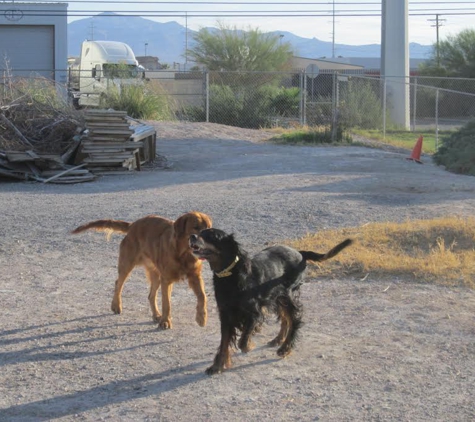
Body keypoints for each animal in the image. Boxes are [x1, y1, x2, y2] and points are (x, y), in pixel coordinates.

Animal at [71, 213, 212, 328]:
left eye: (209, 227)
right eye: (196, 227)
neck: (183, 253)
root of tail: (133, 225)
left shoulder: (195, 276)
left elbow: (202, 296)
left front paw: (201, 318)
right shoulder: (166, 279)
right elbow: (166, 303)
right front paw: (165, 321)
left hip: (156, 275)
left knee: (151, 295)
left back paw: (156, 315)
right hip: (127, 264)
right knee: (118, 283)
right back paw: (116, 305)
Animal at [190, 229, 354, 374]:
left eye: (212, 236)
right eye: (201, 231)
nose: (192, 236)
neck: (230, 276)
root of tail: (300, 253)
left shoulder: (253, 312)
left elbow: (243, 339)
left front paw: (249, 345)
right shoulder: (226, 314)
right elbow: (224, 342)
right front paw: (217, 366)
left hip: (287, 294)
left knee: (295, 320)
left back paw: (285, 348)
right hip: (278, 297)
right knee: (285, 319)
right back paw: (278, 339)